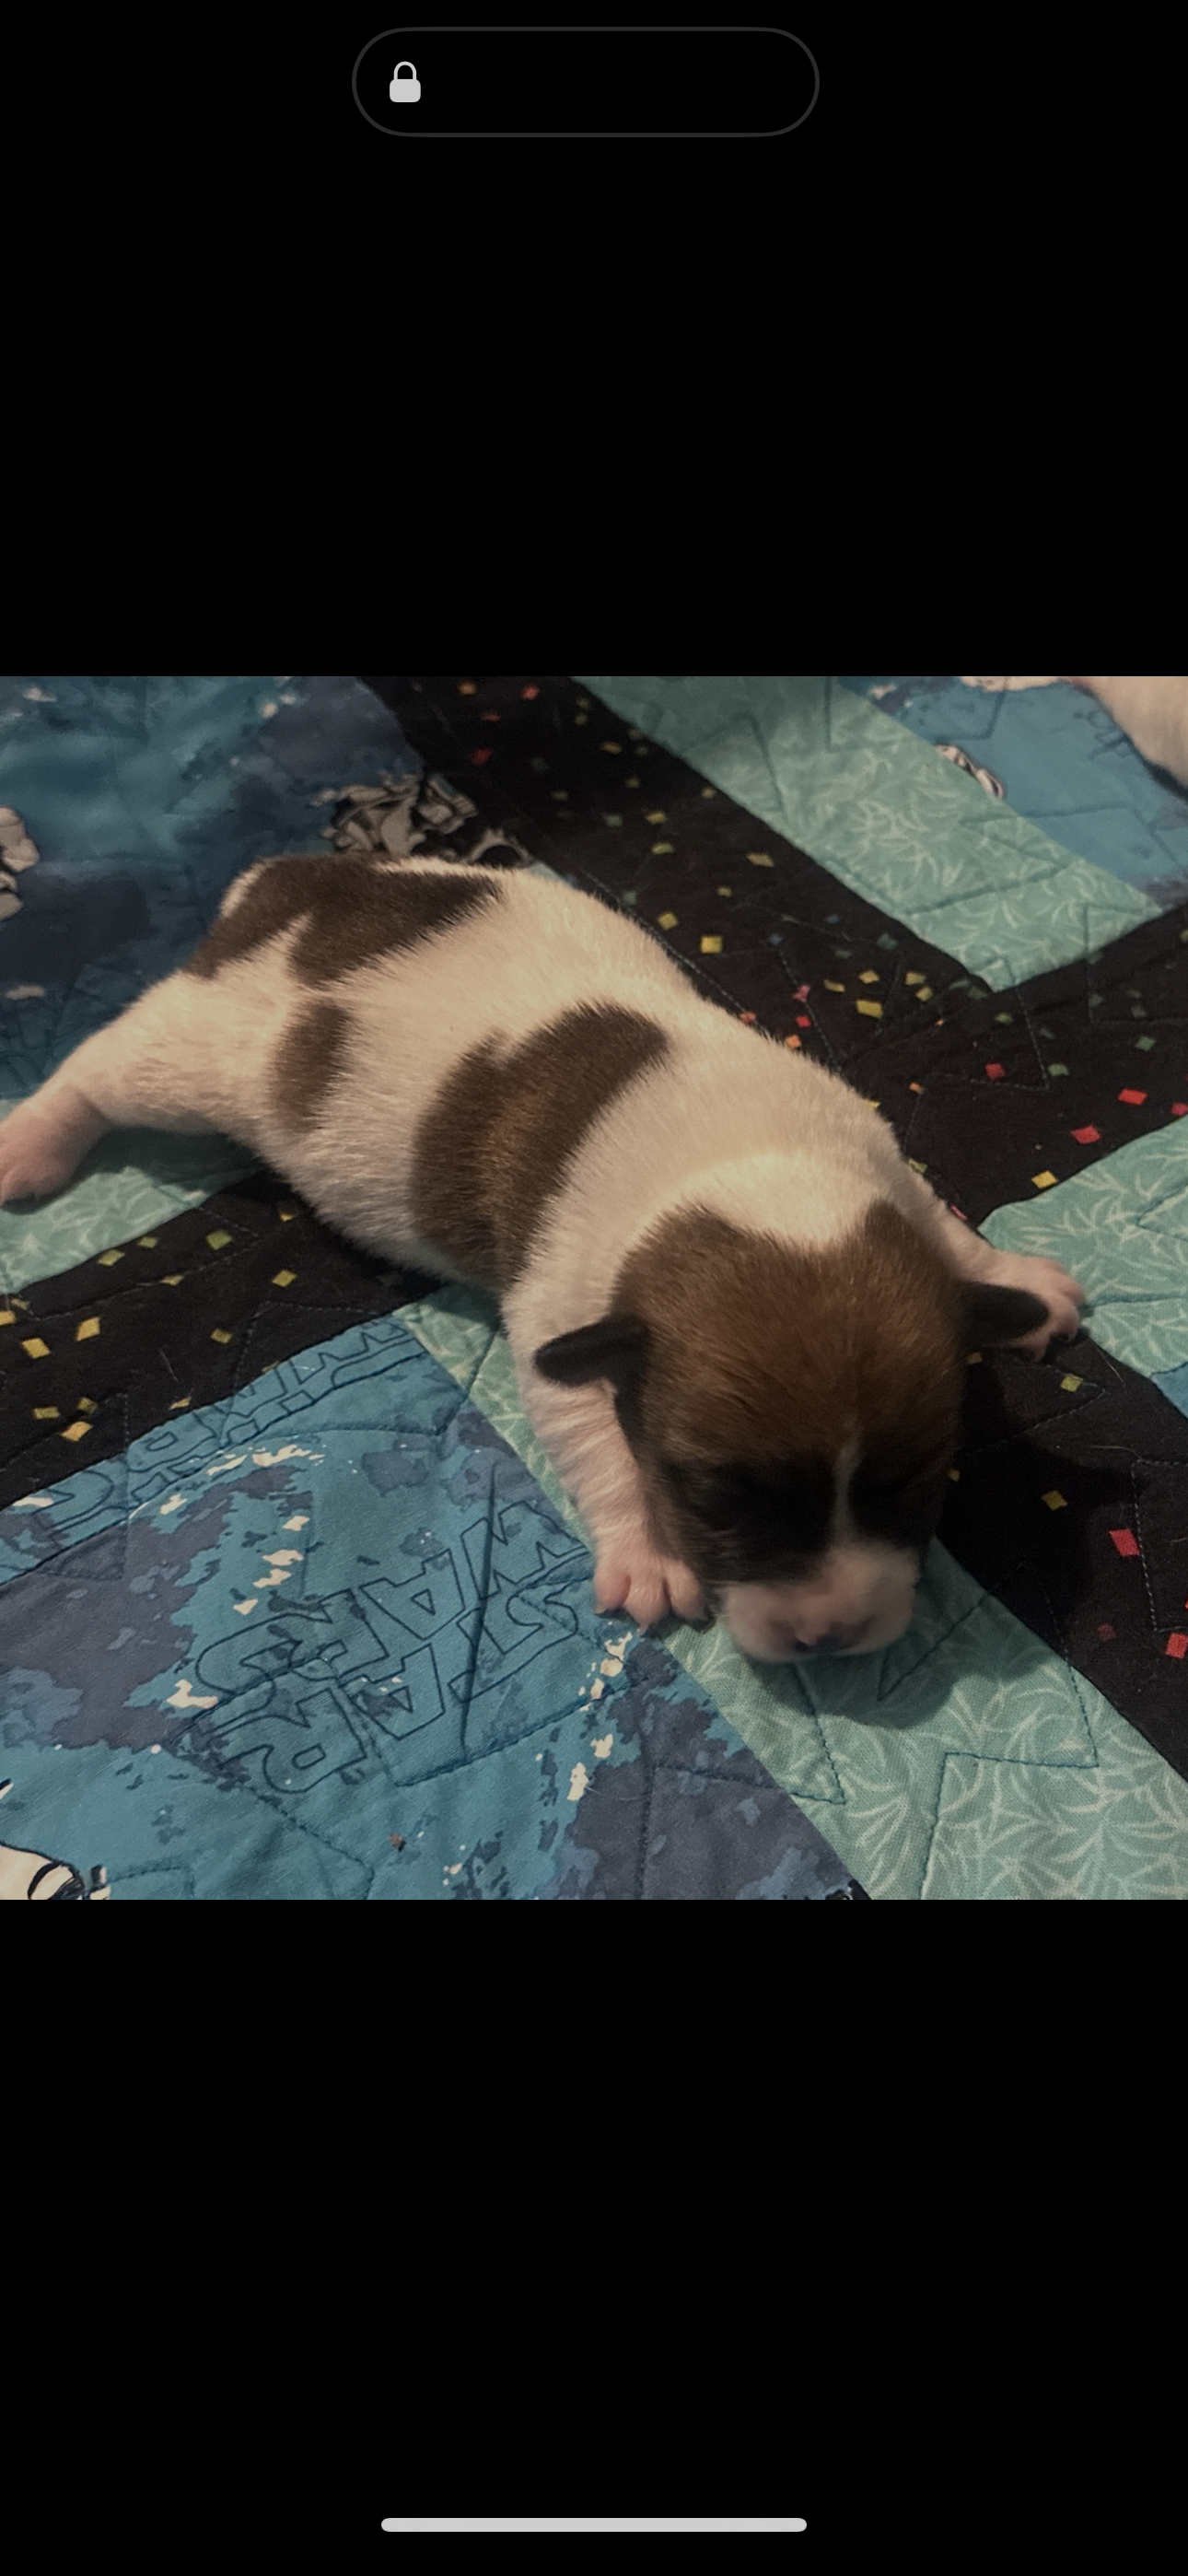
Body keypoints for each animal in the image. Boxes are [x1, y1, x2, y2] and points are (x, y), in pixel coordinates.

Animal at [0, 854, 1084, 1664]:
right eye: (712, 1500)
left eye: (918, 1480)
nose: (830, 1635)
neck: (755, 1170)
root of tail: (292, 885)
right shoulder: (566, 1319)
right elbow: (596, 1438)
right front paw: (645, 1550)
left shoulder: (878, 1164)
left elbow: (941, 1221)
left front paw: (1010, 1279)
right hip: (198, 1051)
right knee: (102, 1065)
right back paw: (32, 1140)